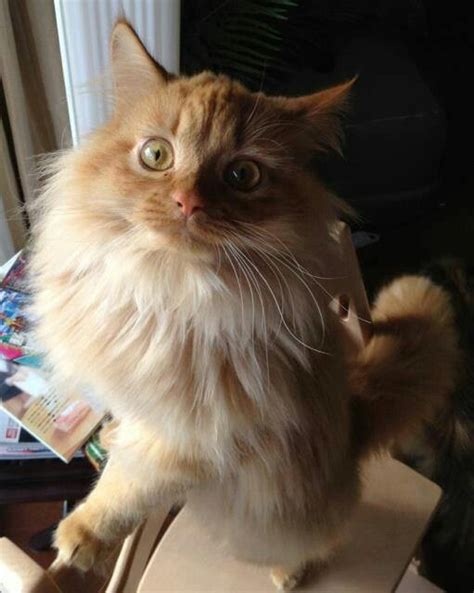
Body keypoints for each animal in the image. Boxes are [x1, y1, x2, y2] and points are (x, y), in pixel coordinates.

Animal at [28, 22, 460, 588]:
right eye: (156, 156)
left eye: (242, 176)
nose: (188, 202)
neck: (164, 288)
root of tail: (354, 416)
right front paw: (112, 438)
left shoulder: (190, 438)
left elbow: (127, 491)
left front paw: (82, 540)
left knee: (322, 539)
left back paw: (290, 572)